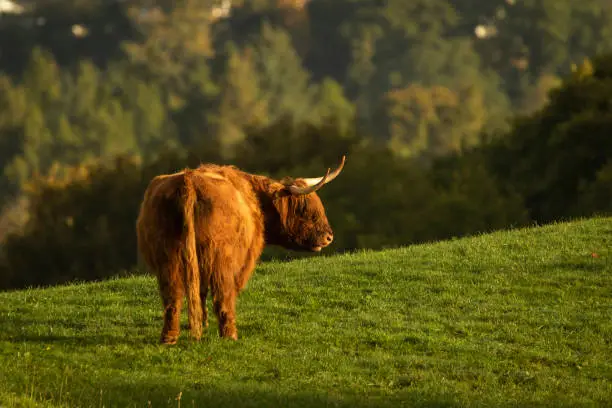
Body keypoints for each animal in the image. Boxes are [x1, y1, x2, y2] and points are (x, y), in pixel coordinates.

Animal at [136, 156, 344, 344]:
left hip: (167, 259)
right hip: (220, 260)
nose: (329, 237)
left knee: (172, 297)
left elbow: (199, 293)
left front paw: (202, 324)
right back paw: (230, 335)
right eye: (305, 210)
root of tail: (188, 181)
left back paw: (169, 338)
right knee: (222, 296)